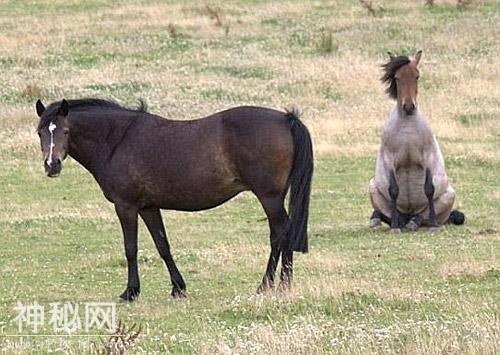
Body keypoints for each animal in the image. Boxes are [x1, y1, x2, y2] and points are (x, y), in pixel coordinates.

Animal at [35, 98, 312, 302]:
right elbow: (163, 246)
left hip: (269, 197)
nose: (52, 165)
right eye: (40, 132)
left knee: (280, 234)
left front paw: (130, 292)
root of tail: (285, 118)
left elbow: (130, 249)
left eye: (66, 131)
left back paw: (269, 285)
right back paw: (283, 284)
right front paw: (178, 288)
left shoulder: (126, 206)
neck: (117, 140)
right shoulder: (148, 207)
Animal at [368, 50, 464, 234]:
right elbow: (393, 189)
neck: (407, 126)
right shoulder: (389, 159)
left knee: (422, 217)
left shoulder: (428, 157)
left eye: (417, 76)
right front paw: (394, 228)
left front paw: (434, 226)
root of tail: (408, 215)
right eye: (397, 77)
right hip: (373, 189)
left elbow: (429, 189)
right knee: (387, 215)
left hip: (449, 196)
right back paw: (384, 220)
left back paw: (416, 222)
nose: (409, 107)